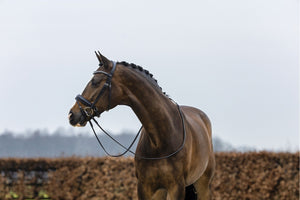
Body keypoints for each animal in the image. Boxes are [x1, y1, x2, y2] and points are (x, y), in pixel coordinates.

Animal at [68, 52, 214, 199]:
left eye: (95, 81)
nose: (72, 114)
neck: (161, 139)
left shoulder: (176, 188)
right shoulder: (145, 187)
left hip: (202, 184)